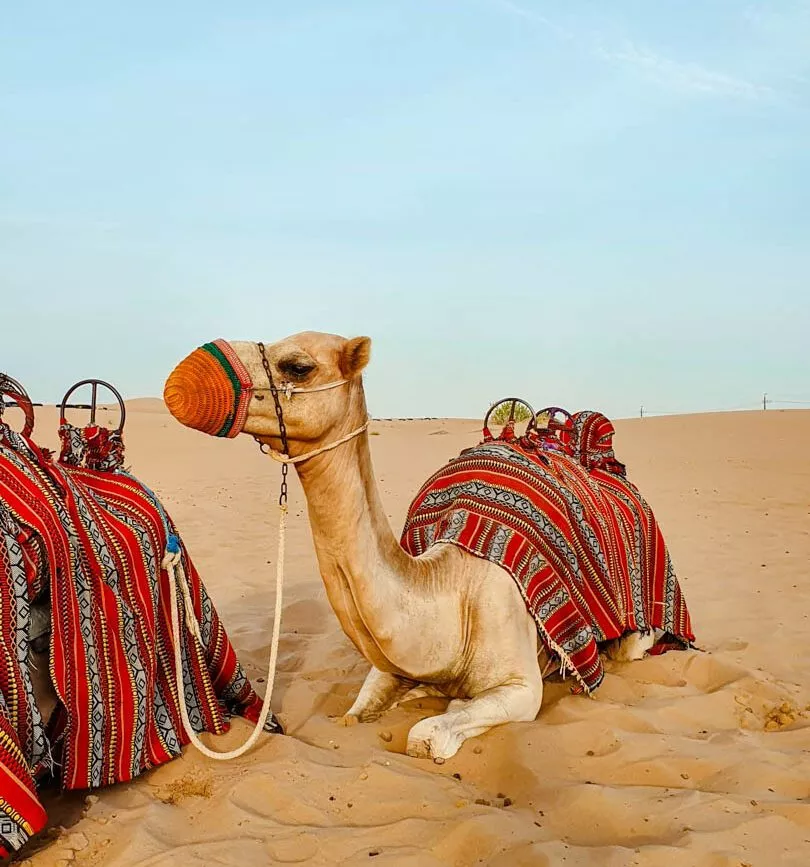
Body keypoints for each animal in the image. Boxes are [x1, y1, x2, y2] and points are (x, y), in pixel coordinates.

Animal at [164, 332, 659, 761]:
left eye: (298, 366)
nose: (182, 380)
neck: (452, 588)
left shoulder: (521, 686)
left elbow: (425, 736)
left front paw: (443, 709)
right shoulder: (388, 665)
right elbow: (351, 716)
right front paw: (418, 694)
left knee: (633, 646)